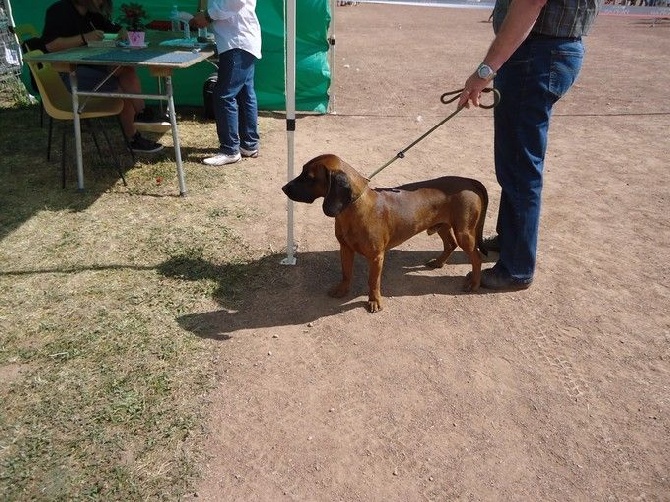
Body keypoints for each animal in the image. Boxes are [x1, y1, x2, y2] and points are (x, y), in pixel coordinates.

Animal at [280, 154, 490, 310]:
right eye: (302, 171)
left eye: (309, 177)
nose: (284, 188)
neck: (354, 209)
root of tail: (469, 181)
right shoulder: (345, 248)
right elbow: (346, 273)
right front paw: (342, 289)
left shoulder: (376, 257)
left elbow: (373, 281)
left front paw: (374, 301)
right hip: (443, 226)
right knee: (450, 245)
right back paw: (438, 262)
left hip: (464, 233)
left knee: (477, 258)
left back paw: (474, 283)